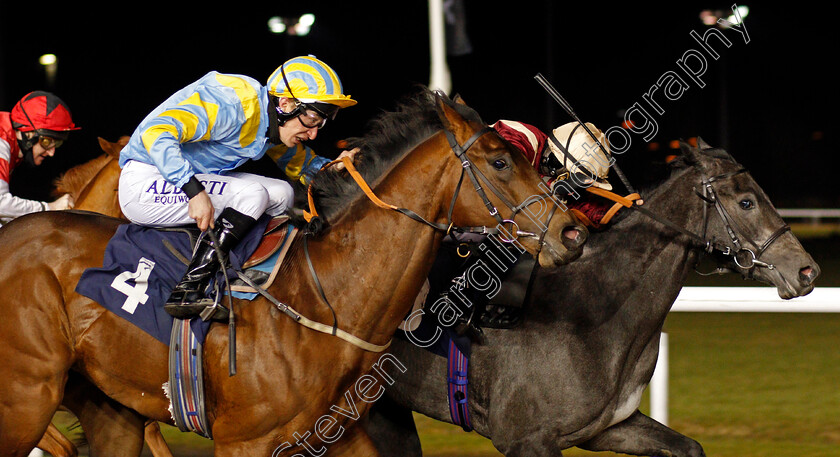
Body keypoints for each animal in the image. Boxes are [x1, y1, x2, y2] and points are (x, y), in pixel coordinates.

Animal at [0, 90, 584, 456]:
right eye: (500, 162)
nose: (572, 233)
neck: (327, 295)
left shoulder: (338, 434)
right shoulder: (243, 442)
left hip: (109, 408)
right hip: (27, 396)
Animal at [362, 141, 820, 454]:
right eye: (746, 201)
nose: (807, 271)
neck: (590, 307)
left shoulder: (607, 427)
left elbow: (689, 447)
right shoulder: (525, 438)